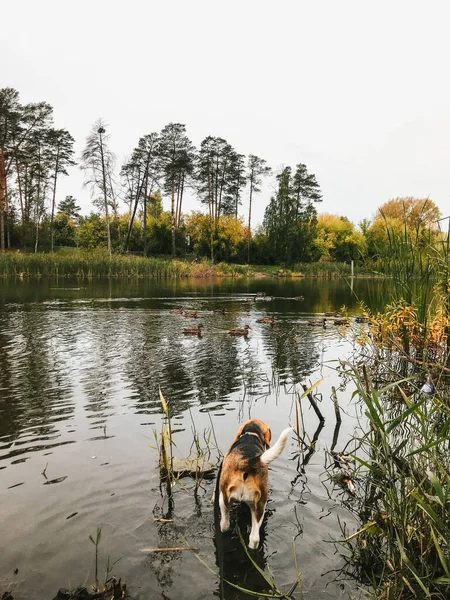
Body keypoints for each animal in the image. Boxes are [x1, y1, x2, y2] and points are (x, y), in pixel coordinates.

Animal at [217, 420, 292, 552]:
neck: (251, 434)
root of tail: (247, 460)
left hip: (224, 499)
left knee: (225, 524)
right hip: (259, 507)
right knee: (254, 538)